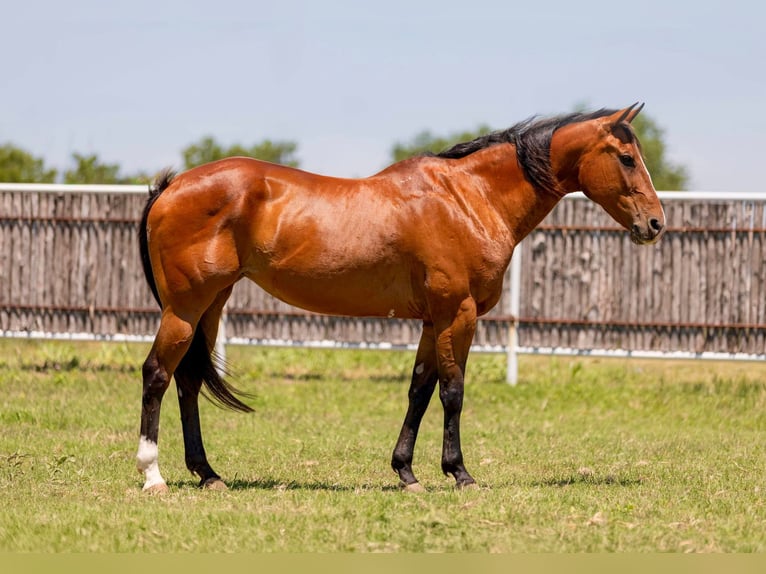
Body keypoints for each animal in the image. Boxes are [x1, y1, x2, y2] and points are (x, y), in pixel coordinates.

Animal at [136, 103, 665, 493]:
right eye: (626, 157)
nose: (655, 223)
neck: (468, 197)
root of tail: (173, 185)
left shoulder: (434, 320)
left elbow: (419, 390)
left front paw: (407, 472)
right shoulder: (458, 314)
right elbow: (453, 391)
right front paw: (459, 473)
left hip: (211, 303)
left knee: (187, 379)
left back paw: (207, 474)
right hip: (185, 307)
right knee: (157, 374)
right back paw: (152, 475)